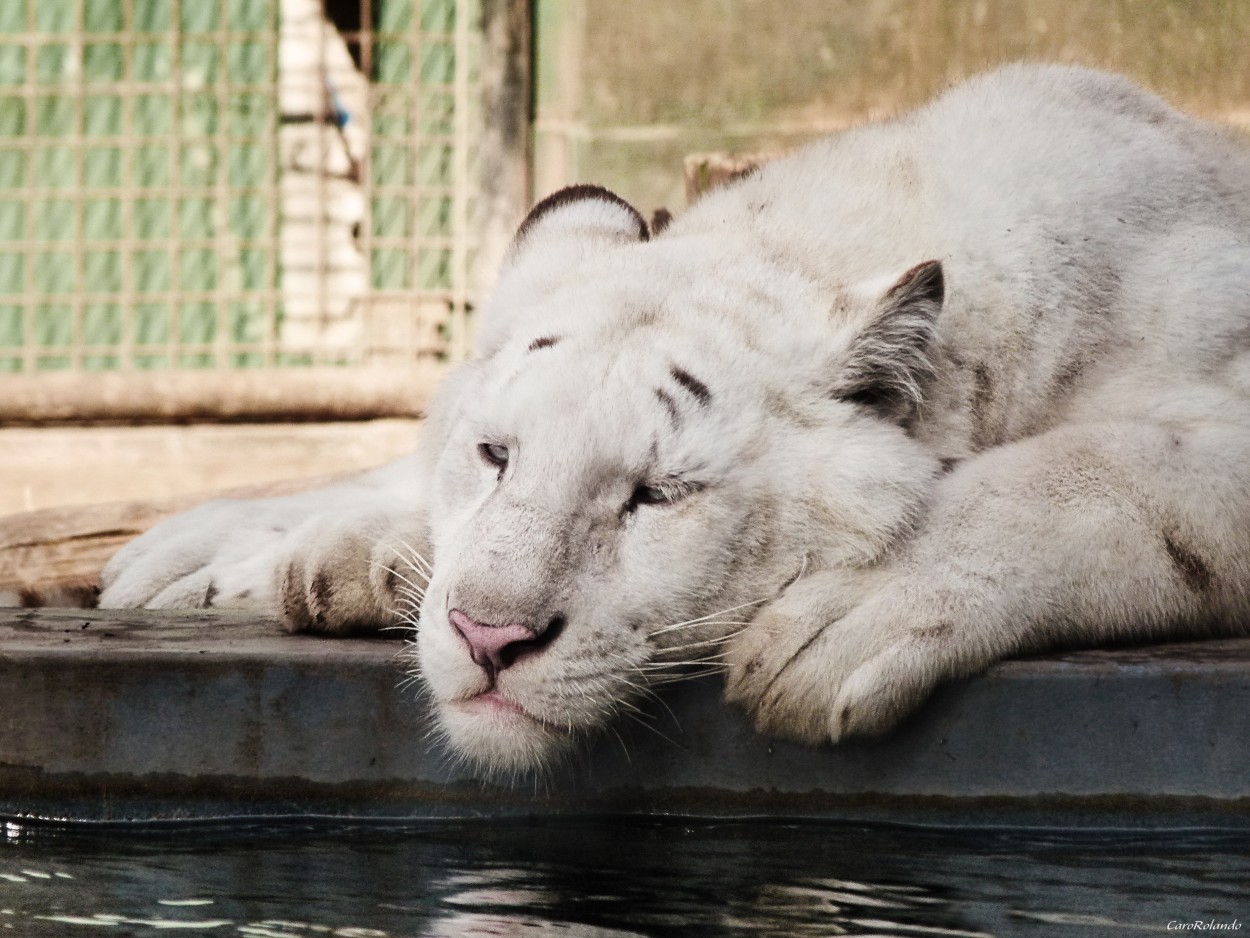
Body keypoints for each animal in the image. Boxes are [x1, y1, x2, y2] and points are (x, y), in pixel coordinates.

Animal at [100, 64, 1250, 770]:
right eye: (496, 455)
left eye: (656, 496)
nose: (487, 637)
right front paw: (240, 555)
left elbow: (1096, 474)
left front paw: (843, 614)